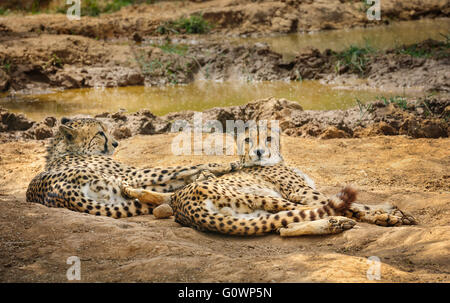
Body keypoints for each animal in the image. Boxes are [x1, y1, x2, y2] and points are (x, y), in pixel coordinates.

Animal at [25, 117, 239, 220]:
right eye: (100, 133)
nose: (116, 143)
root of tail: (64, 194)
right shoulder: (132, 172)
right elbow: (182, 167)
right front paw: (224, 164)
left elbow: (179, 175)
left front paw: (206, 173)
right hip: (124, 180)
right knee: (166, 189)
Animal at [167, 122, 416, 236]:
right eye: (248, 140)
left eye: (268, 138)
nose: (259, 152)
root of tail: (182, 204)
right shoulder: (303, 192)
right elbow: (356, 204)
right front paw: (387, 214)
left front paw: (391, 210)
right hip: (266, 198)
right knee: (317, 210)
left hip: (256, 214)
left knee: (284, 225)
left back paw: (335, 224)